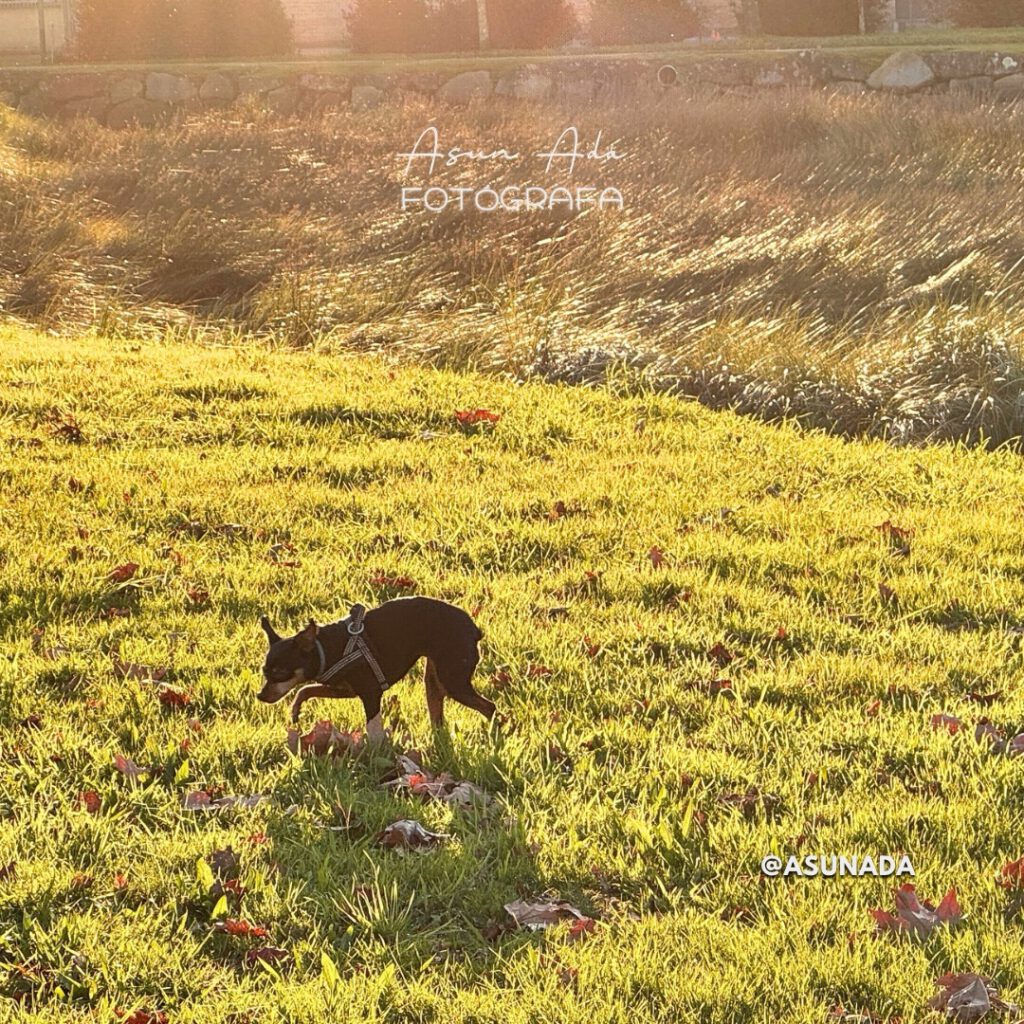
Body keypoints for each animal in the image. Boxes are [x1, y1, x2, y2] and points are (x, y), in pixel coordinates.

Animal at [258, 598, 493, 741]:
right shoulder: (344, 690)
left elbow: (374, 729)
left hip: (453, 680)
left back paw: (493, 735)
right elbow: (305, 689)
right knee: (438, 714)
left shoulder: (371, 693)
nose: (260, 696)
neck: (325, 647)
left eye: (279, 672)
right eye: (265, 672)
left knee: (489, 707)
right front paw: (295, 710)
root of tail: (475, 630)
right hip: (435, 680)